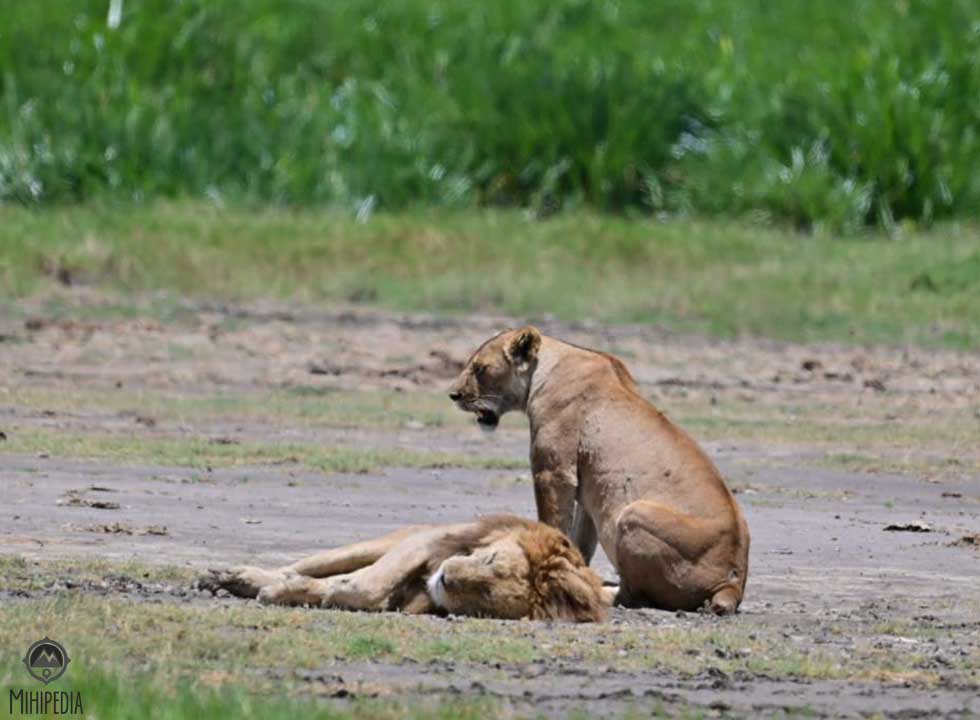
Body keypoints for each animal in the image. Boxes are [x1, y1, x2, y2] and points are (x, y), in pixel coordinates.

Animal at [201, 515, 608, 622]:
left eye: (487, 594)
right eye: (490, 560)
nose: (446, 577)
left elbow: (361, 591)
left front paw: (308, 592)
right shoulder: (427, 543)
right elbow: (365, 585)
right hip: (383, 541)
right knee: (305, 565)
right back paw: (235, 578)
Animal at [449, 327, 750, 614]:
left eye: (479, 368)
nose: (453, 395)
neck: (546, 367)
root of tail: (733, 583)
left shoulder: (554, 472)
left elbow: (552, 523)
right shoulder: (586, 487)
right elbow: (580, 540)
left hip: (634, 514)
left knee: (633, 595)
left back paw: (604, 590)